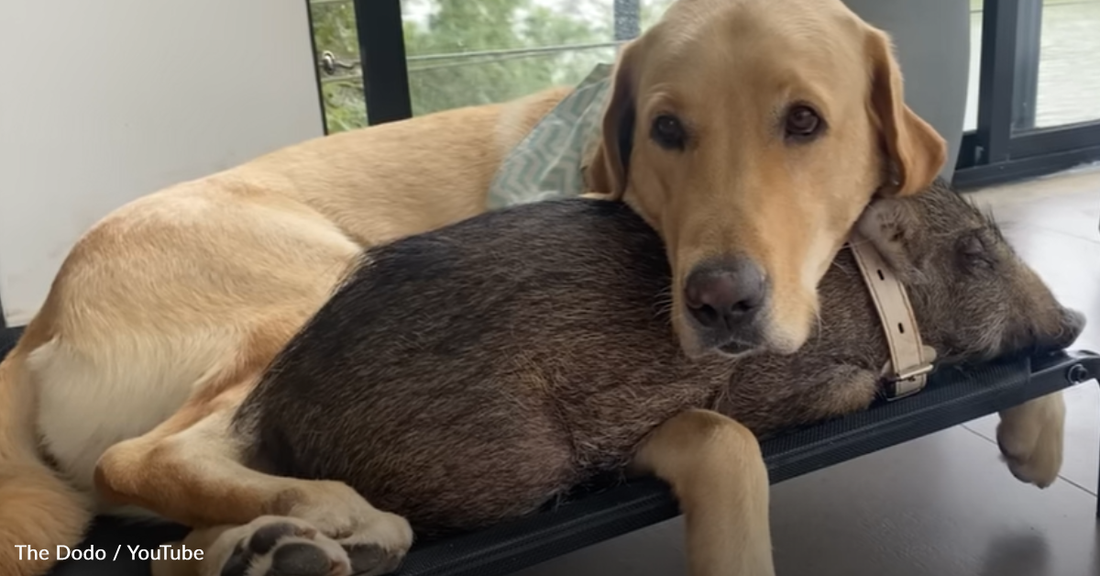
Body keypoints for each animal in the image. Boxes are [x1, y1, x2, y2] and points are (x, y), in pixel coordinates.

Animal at [233, 178, 1085, 538]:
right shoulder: (761, 389)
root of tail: (272, 421)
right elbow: (842, 391)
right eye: (976, 253)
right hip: (512, 465)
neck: (879, 293)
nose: (1076, 319)